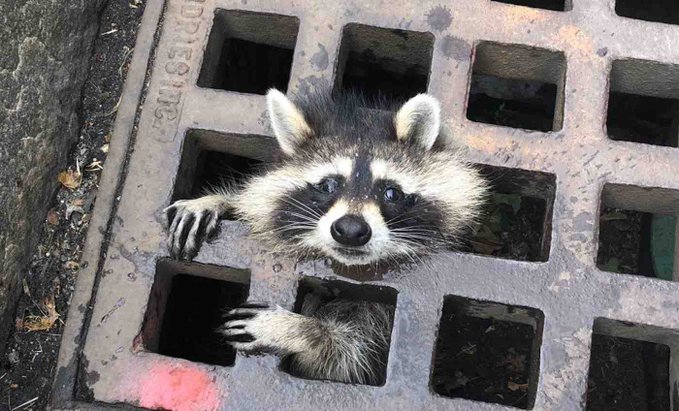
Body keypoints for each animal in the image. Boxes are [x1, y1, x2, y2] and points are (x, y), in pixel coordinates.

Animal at [164, 89, 487, 384]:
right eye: (328, 185)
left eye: (391, 192)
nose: (351, 230)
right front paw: (219, 201)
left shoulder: (377, 325)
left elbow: (345, 356)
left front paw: (300, 330)